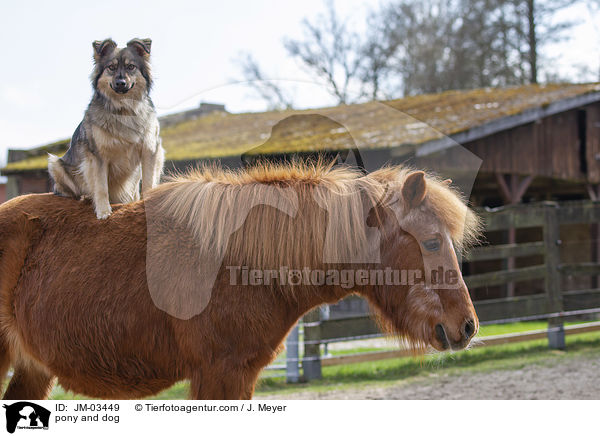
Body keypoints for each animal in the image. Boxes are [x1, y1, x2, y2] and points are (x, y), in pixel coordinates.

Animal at [0, 161, 480, 398]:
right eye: (432, 241)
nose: (468, 326)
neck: (241, 264)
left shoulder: (239, 375)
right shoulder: (220, 374)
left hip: (32, 369)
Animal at [48, 38, 164, 218]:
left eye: (131, 67)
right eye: (111, 67)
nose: (121, 83)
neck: (123, 109)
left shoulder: (150, 150)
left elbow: (148, 182)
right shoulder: (98, 156)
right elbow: (101, 186)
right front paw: (103, 212)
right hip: (56, 164)